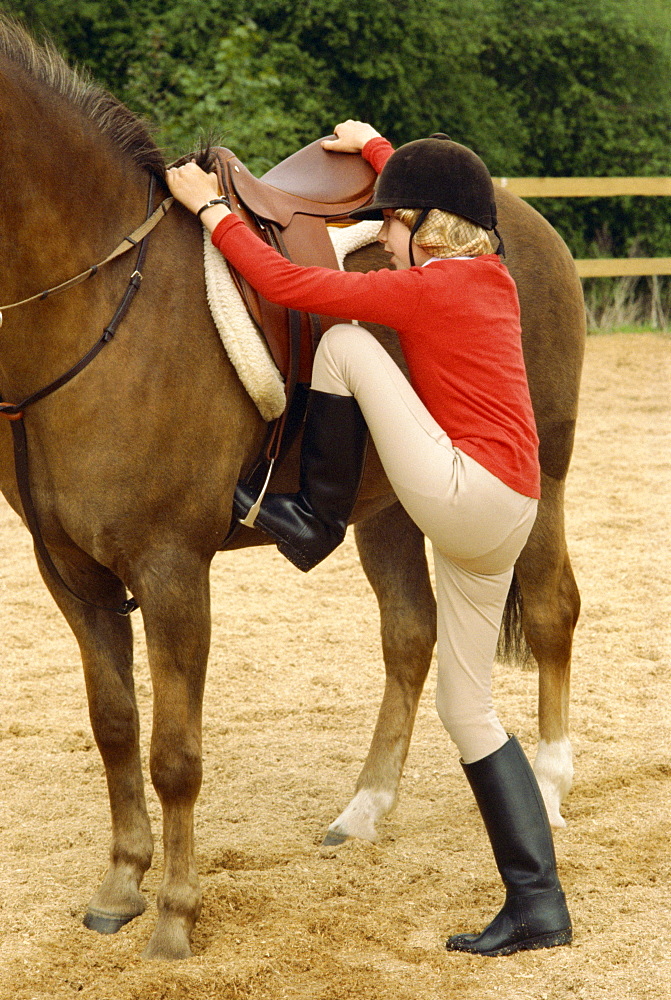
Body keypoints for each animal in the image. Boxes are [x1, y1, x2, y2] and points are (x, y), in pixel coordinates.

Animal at [0, 19, 584, 960]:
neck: (100, 298)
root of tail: (520, 221)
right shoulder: (74, 575)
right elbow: (115, 727)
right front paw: (120, 888)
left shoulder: (171, 569)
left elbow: (173, 752)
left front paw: (175, 917)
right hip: (388, 507)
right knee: (410, 635)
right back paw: (365, 810)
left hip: (542, 479)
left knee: (551, 608)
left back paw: (553, 781)